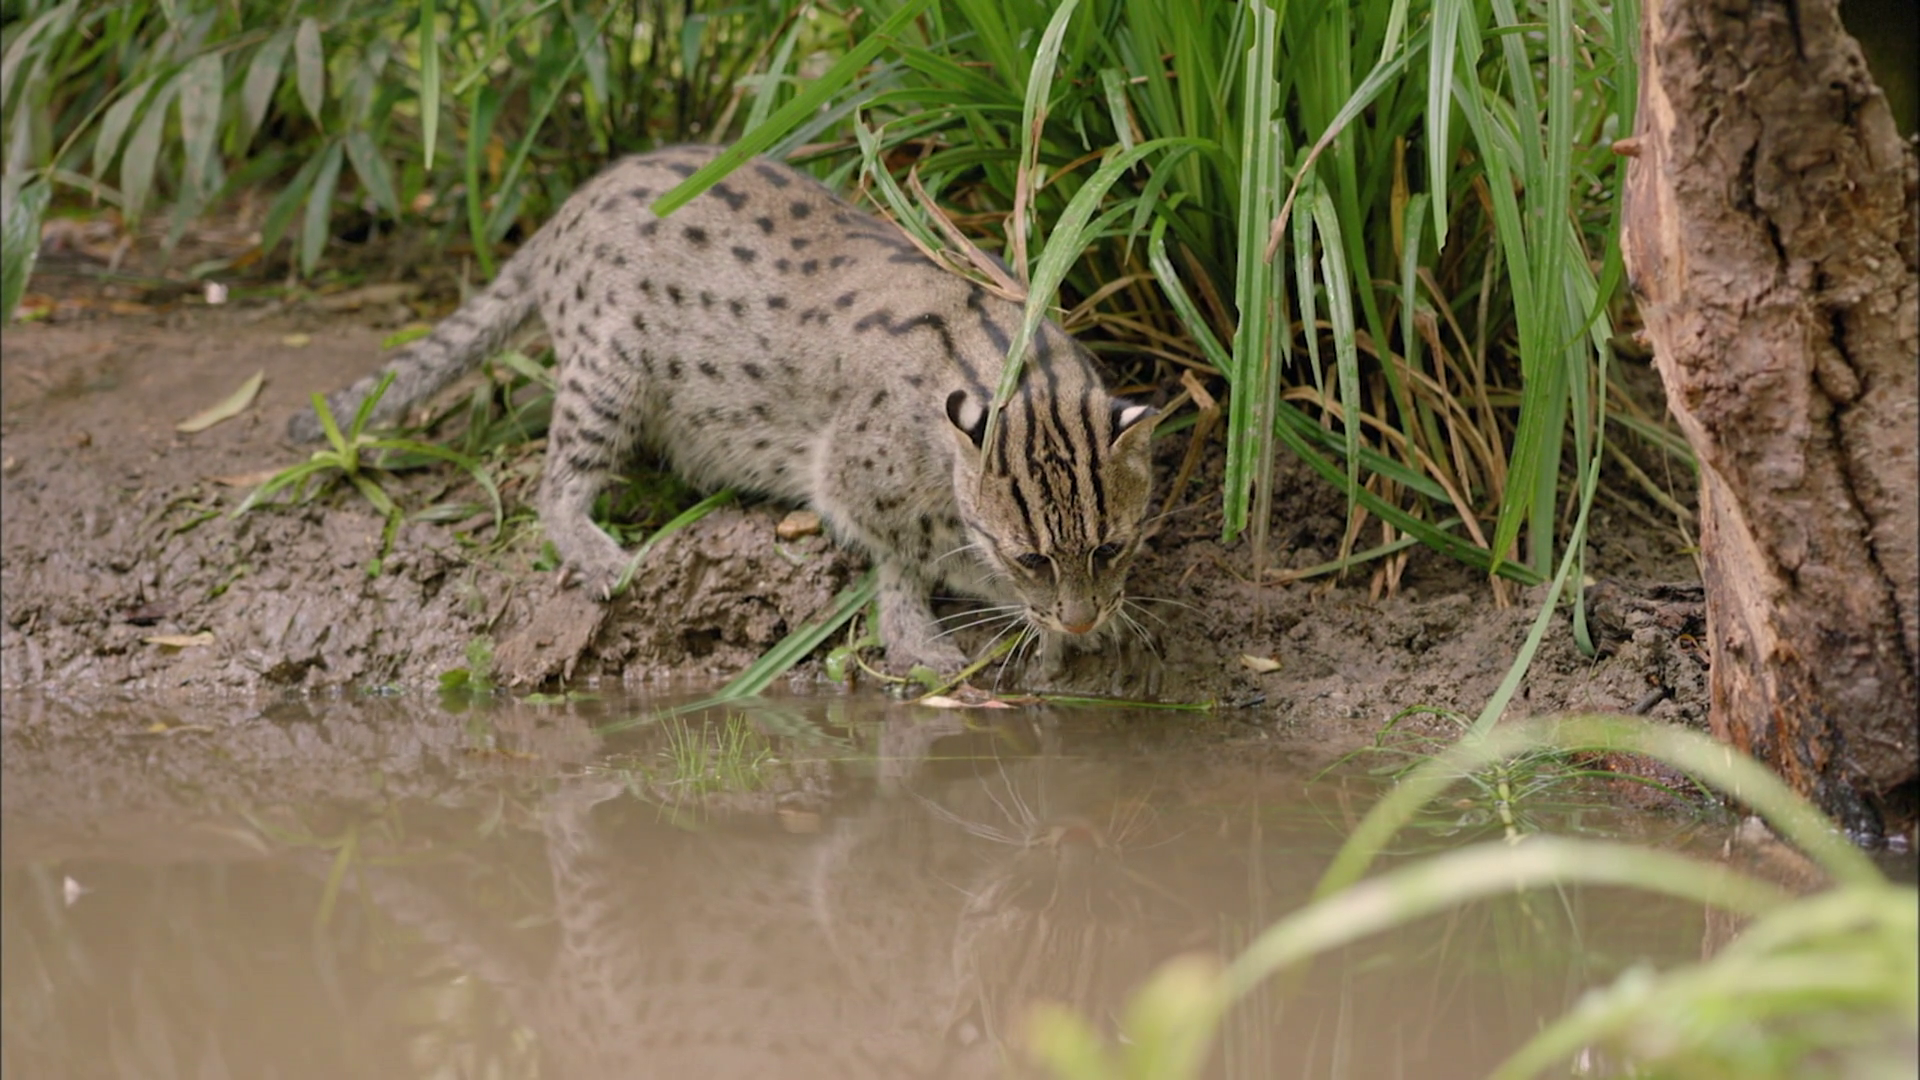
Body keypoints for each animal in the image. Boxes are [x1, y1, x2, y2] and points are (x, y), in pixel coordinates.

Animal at [284, 145, 1152, 672]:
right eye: (1029, 557)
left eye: (1113, 546)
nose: (1080, 618)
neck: (1017, 366)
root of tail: (571, 206)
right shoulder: (847, 475)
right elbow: (913, 552)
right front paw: (981, 621)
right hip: (611, 370)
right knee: (552, 486)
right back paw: (597, 552)